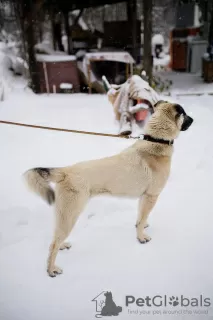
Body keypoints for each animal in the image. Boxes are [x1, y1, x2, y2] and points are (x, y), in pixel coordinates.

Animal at [23, 101, 193, 276]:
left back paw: (63, 245)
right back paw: (51, 270)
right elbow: (141, 220)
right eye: (185, 114)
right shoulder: (151, 196)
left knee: (56, 237)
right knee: (53, 245)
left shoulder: (144, 197)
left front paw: (142, 226)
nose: (193, 120)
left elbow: (140, 217)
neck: (156, 141)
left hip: (63, 215)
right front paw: (141, 237)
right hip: (70, 214)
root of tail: (65, 171)